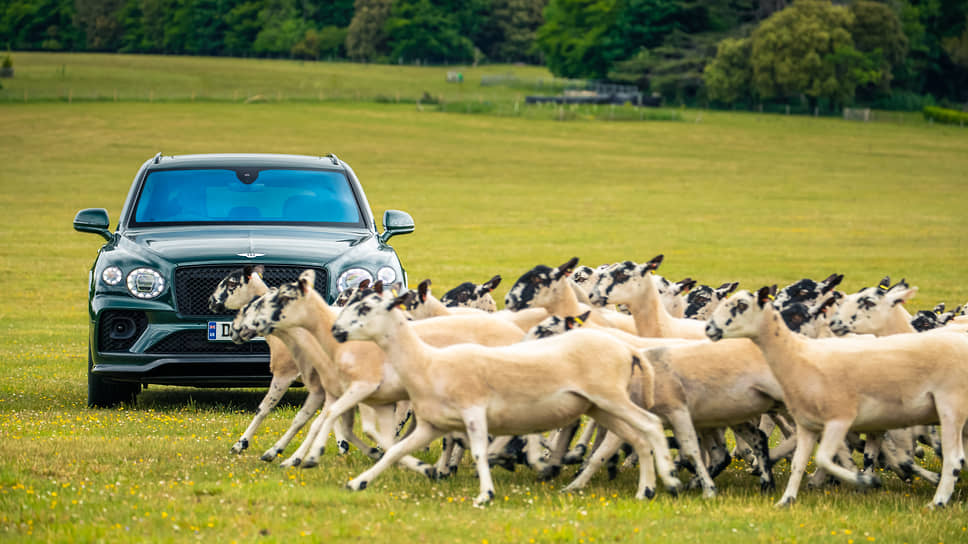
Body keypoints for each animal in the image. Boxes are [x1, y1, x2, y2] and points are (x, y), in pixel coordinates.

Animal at [330, 292, 680, 508]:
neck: (427, 362)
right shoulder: (432, 425)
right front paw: (358, 483)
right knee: (638, 437)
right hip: (599, 406)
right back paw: (645, 490)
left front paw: (485, 494)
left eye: (365, 309)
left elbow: (479, 452)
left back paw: (670, 480)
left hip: (611, 397)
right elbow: (394, 451)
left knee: (651, 425)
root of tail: (627, 348)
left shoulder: (473, 411)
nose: (335, 331)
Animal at [704, 286, 968, 508]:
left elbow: (829, 456)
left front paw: (865, 481)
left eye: (741, 306)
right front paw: (789, 496)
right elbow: (806, 460)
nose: (709, 328)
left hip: (949, 407)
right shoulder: (818, 422)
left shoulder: (845, 418)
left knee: (953, 458)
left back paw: (937, 501)